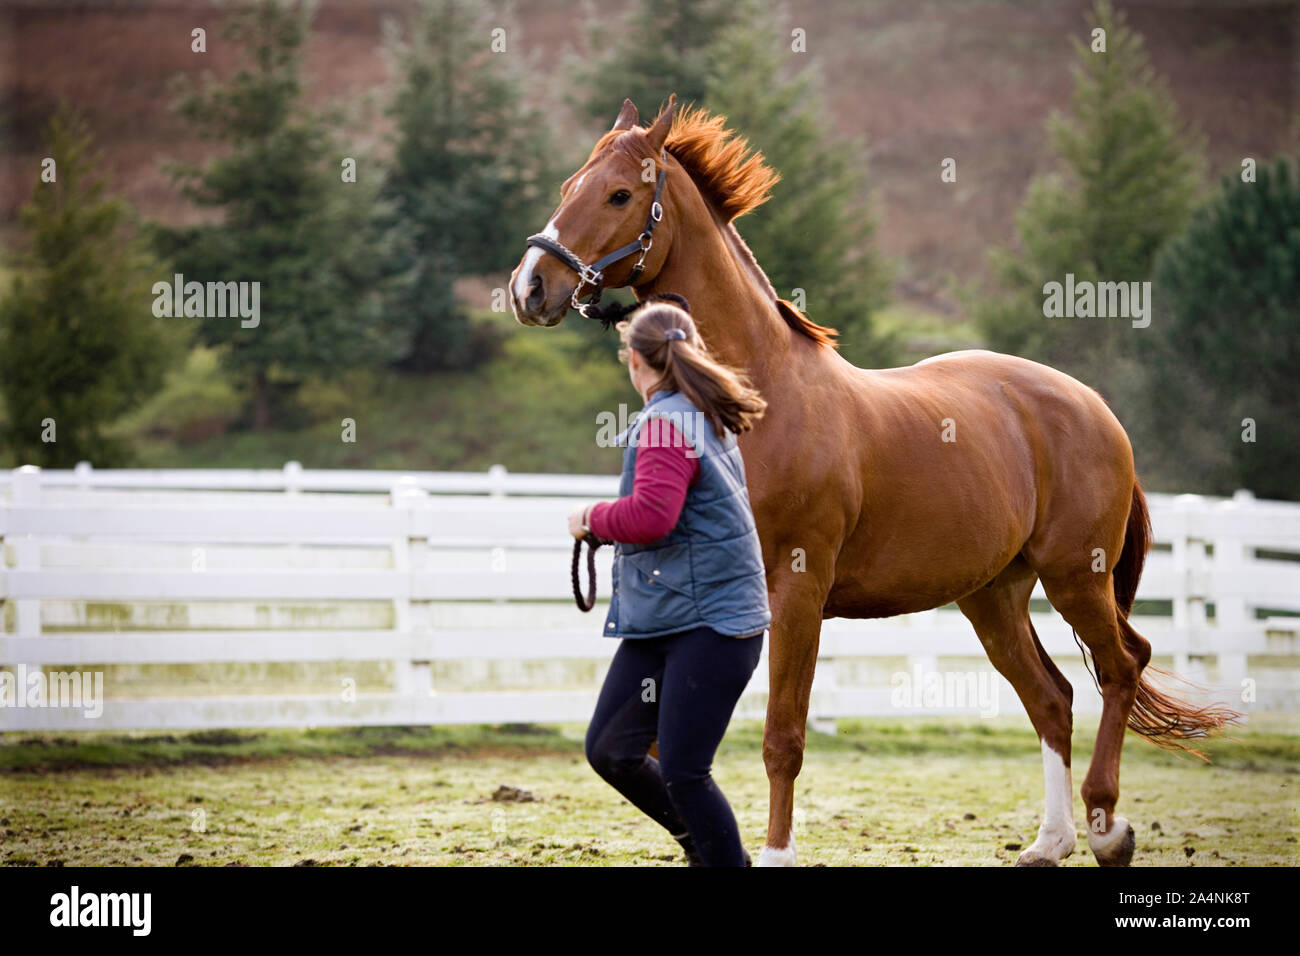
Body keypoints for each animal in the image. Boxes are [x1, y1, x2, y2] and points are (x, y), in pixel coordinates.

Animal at [509, 95, 1238, 866]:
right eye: (568, 186)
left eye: (620, 194)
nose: (530, 286)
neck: (759, 393)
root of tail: (1096, 408)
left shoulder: (797, 591)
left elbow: (782, 739)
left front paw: (776, 854)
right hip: (993, 597)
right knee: (1054, 698)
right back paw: (1049, 841)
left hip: (1076, 577)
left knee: (1122, 668)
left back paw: (1106, 828)